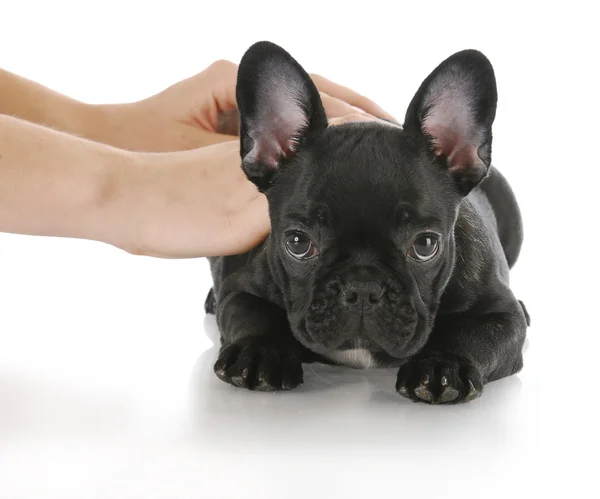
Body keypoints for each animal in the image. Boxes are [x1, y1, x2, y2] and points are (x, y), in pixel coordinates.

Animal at [205, 41, 528, 404]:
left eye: (425, 245)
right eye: (298, 243)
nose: (362, 287)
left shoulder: (501, 316)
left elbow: (472, 336)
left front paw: (442, 364)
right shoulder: (241, 289)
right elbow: (251, 314)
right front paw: (259, 352)